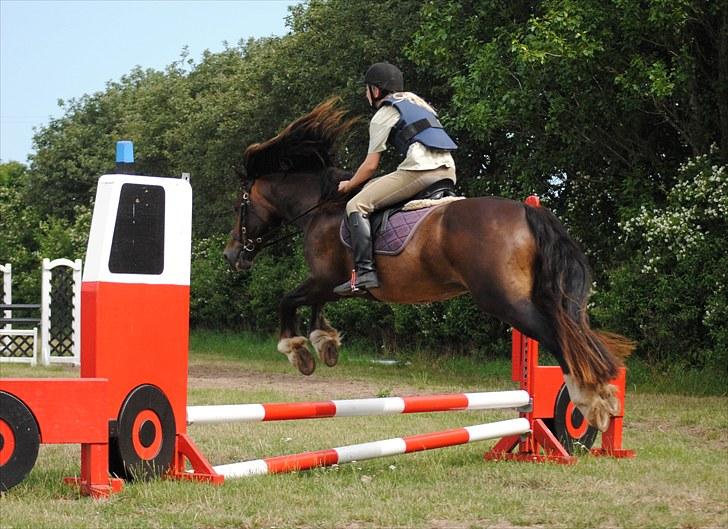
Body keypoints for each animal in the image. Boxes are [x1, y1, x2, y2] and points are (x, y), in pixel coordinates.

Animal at [225, 97, 636, 432]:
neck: (322, 207)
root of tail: (525, 210)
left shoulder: (328, 278)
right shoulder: (334, 284)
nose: (230, 256)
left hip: (506, 301)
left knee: (560, 337)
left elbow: (288, 299)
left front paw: (297, 350)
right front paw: (324, 343)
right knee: (577, 334)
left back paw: (588, 401)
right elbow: (313, 304)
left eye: (239, 207)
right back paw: (603, 398)